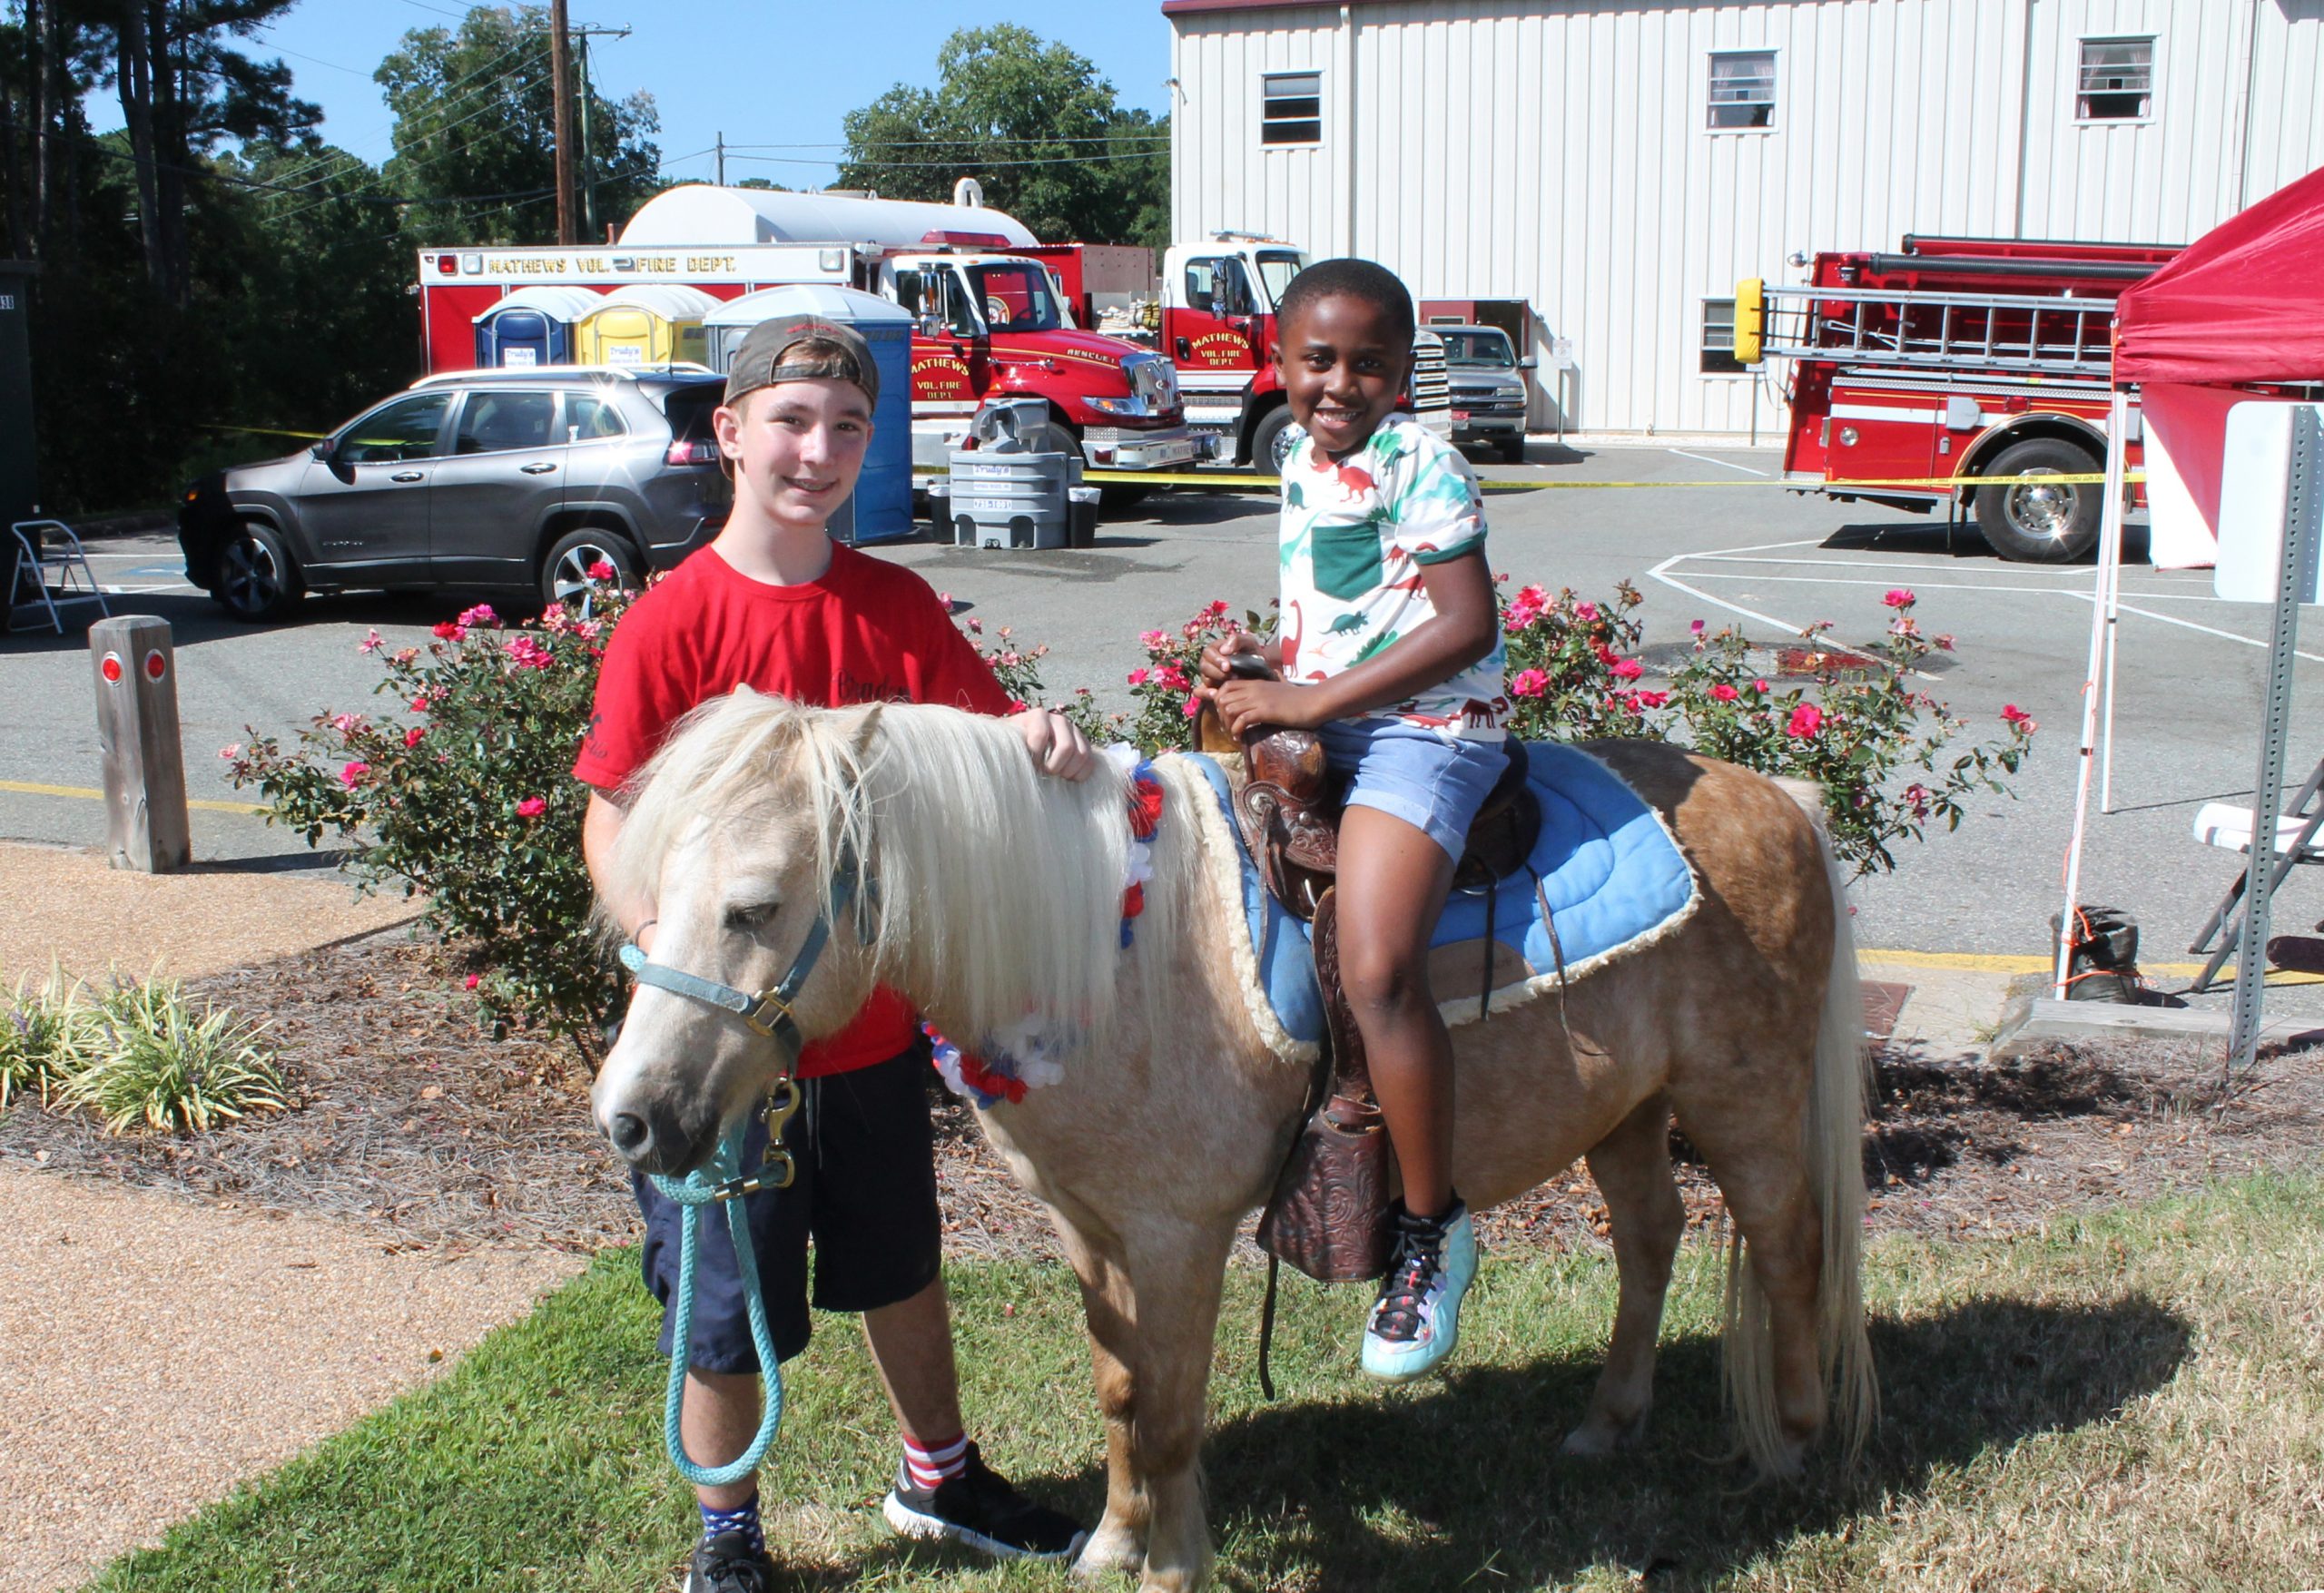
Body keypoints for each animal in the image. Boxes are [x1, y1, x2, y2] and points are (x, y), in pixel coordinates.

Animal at [595, 696, 1868, 1593]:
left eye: (755, 907)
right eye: (646, 890)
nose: (633, 1117)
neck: (1112, 952)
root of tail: (1779, 796)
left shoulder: (1178, 1238)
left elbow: (1168, 1412)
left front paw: (1171, 1566)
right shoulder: (1088, 1229)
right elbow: (1119, 1393)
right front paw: (1112, 1547)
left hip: (1744, 1102)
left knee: (1787, 1247)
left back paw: (1794, 1451)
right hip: (1627, 1112)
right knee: (1650, 1240)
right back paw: (1608, 1424)